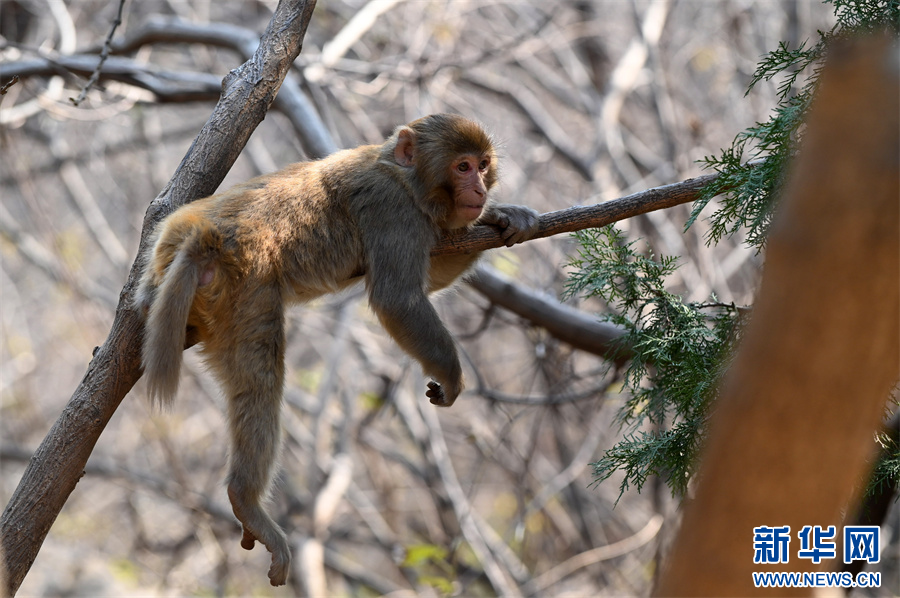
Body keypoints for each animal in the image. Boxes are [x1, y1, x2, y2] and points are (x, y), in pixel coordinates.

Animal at [134, 112, 540, 584]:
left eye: (483, 164)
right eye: (462, 167)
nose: (479, 188)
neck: (403, 176)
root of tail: (202, 237)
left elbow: (433, 278)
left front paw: (505, 216)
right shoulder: (392, 209)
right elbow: (398, 298)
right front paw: (452, 375)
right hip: (243, 289)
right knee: (261, 378)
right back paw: (246, 499)